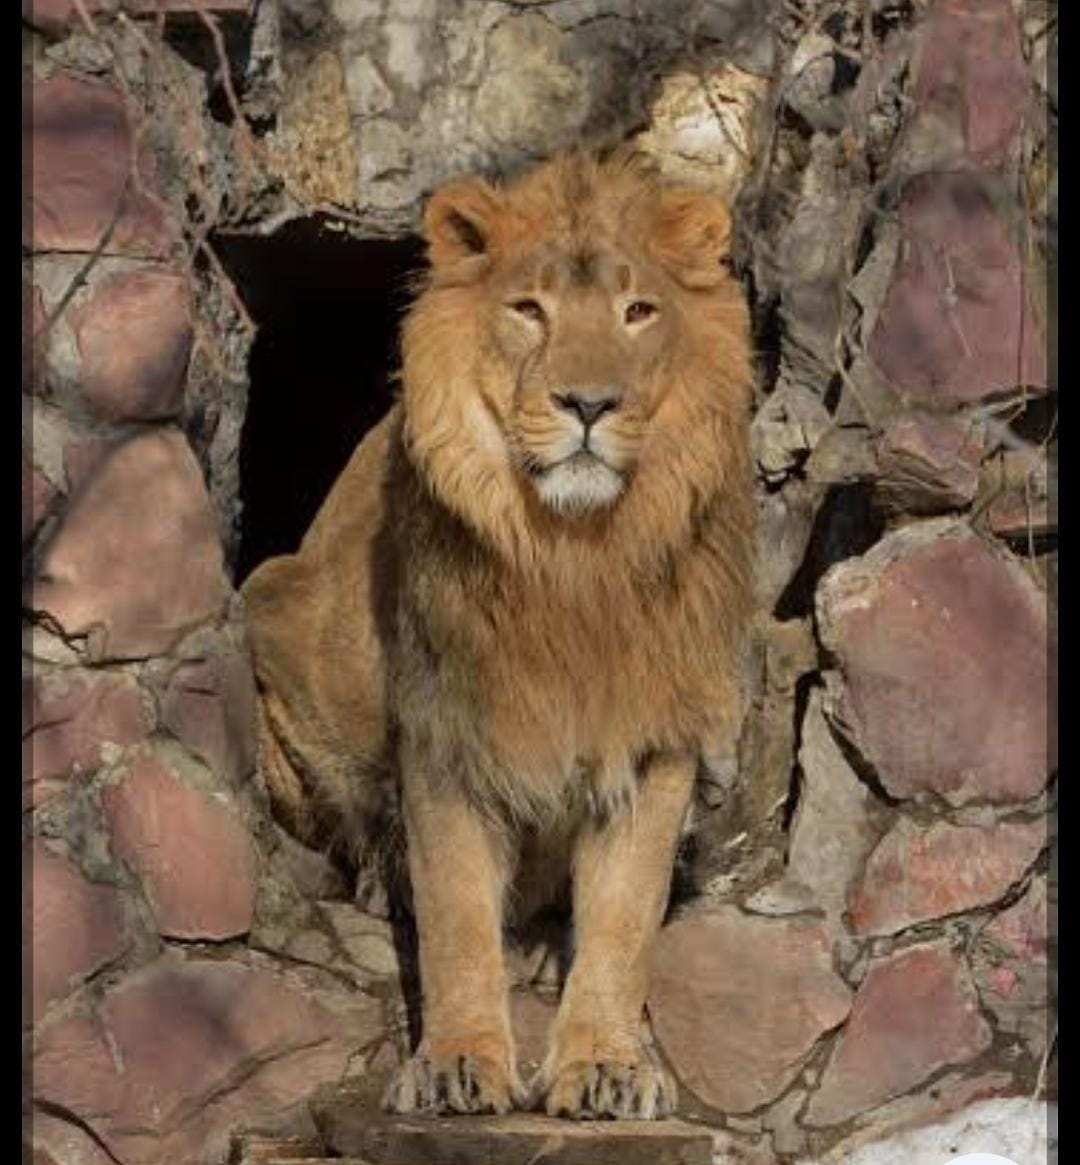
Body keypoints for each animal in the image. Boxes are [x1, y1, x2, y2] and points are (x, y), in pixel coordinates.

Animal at [240, 150, 755, 1121]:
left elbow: (626, 917)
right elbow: (456, 918)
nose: (588, 402)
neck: (574, 558)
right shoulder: (446, 730)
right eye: (529, 310)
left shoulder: (655, 737)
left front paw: (604, 1065)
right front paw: (456, 1064)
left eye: (639, 311)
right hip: (276, 610)